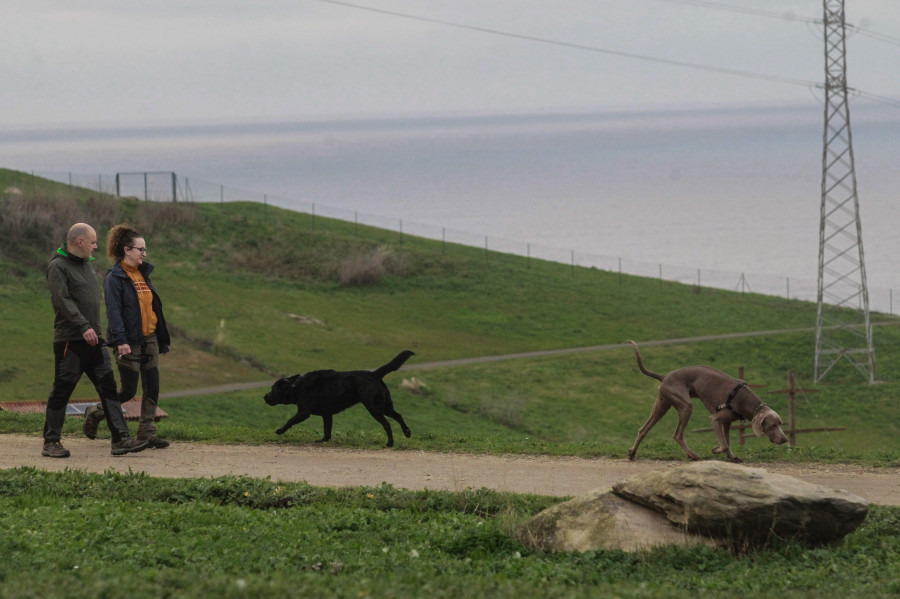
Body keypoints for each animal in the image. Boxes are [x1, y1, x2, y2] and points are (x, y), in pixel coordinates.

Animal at [262, 352, 414, 446]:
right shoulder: (327, 415)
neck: (296, 386)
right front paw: (323, 440)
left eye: (273, 389)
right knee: (398, 416)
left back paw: (390, 443)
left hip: (374, 407)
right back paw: (407, 432)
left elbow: (290, 421)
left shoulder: (304, 412)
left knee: (387, 424)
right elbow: (327, 429)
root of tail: (374, 374)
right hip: (385, 406)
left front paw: (280, 431)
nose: (265, 397)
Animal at [628, 340, 784, 462]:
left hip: (662, 404)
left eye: (780, 424)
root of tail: (664, 376)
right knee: (677, 435)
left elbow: (727, 442)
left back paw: (632, 453)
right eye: (772, 425)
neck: (746, 401)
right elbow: (724, 444)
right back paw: (692, 455)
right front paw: (715, 450)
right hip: (685, 406)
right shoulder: (715, 419)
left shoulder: (726, 422)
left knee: (643, 429)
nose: (785, 439)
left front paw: (732, 458)